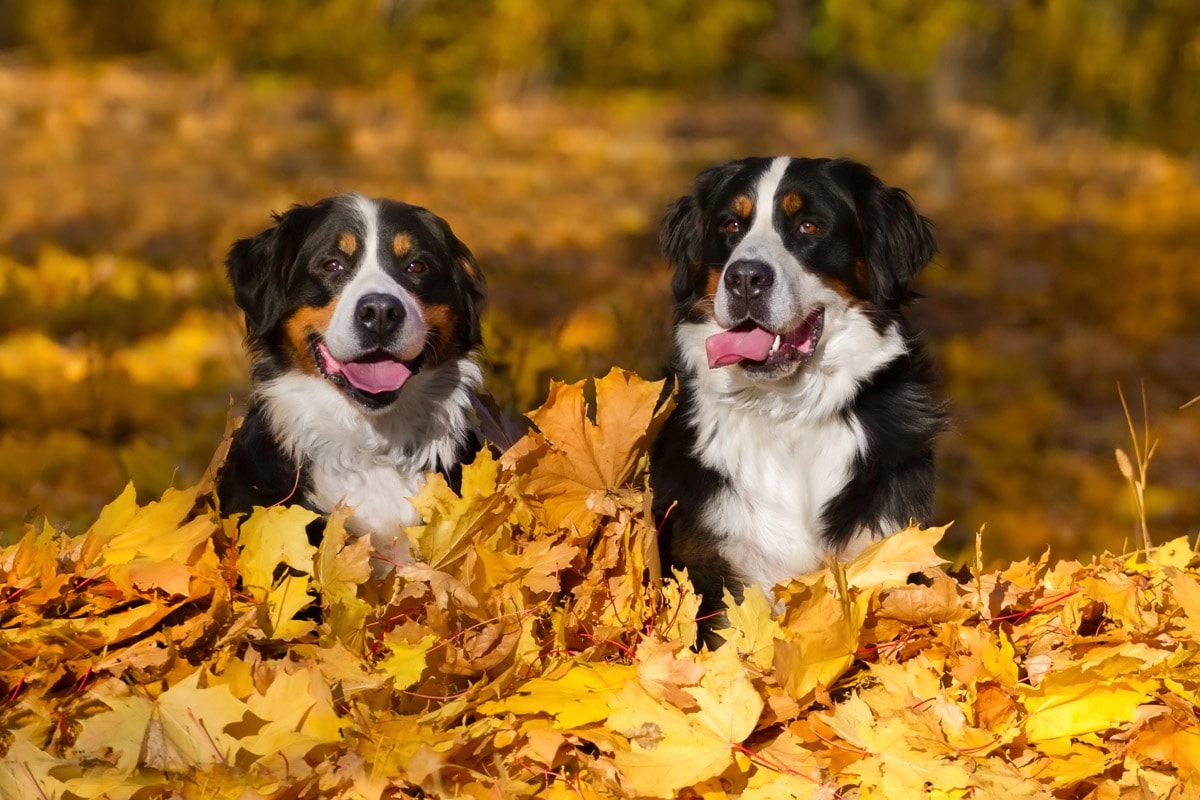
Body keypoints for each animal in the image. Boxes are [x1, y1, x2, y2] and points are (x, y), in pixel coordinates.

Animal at [652, 158, 940, 642]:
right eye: (730, 225)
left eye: (809, 226)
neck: (787, 413)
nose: (745, 278)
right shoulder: (713, 568)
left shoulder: (885, 545)